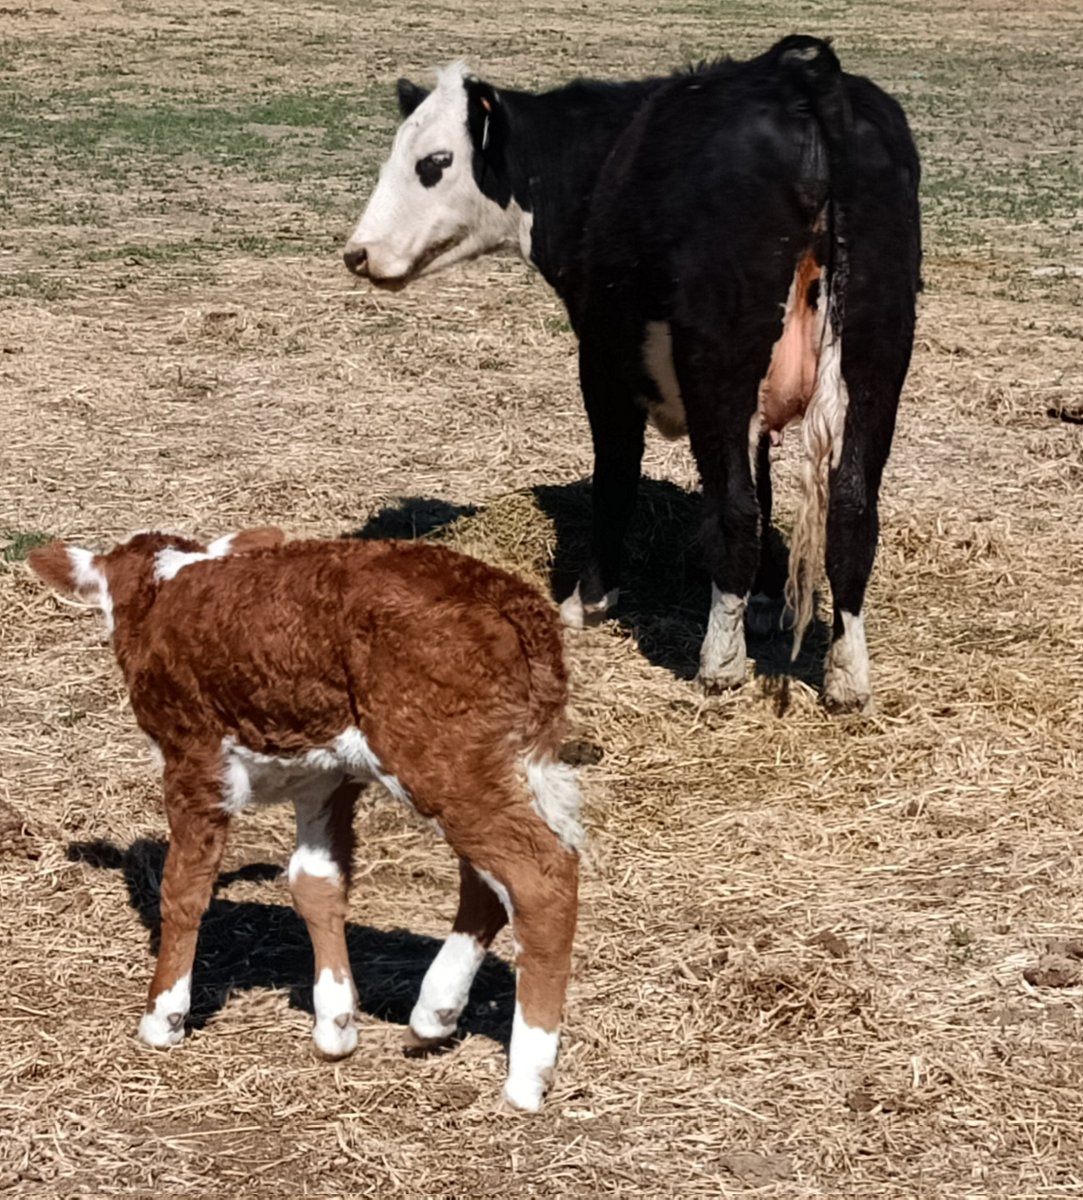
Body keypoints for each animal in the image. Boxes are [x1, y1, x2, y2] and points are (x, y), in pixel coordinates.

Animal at [29, 530, 581, 1108]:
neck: (168, 587)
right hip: (472, 764)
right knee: (488, 880)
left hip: (437, 756)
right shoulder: (325, 777)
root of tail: (510, 598)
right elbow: (315, 884)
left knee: (539, 875)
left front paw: (163, 1017)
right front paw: (336, 1025)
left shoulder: (194, 759)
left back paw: (526, 1075)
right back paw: (433, 1015)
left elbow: (183, 887)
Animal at [343, 35, 922, 710]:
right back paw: (846, 678)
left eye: (434, 162)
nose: (358, 253)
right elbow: (762, 481)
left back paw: (719, 664)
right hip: (873, 360)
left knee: (735, 510)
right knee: (852, 514)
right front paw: (764, 600)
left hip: (718, 363)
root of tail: (802, 79)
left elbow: (616, 477)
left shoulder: (601, 360)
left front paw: (588, 599)